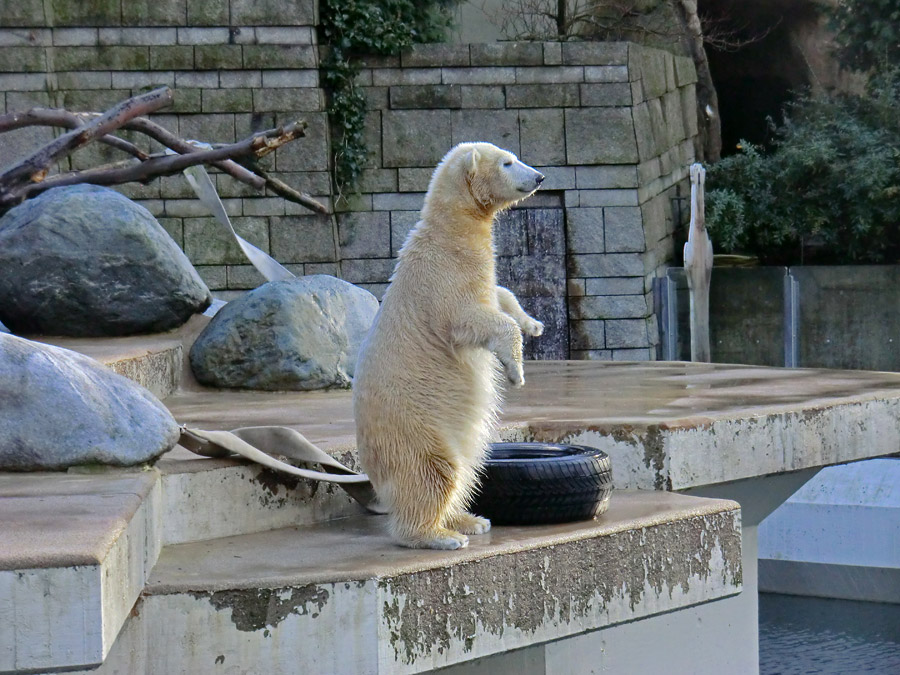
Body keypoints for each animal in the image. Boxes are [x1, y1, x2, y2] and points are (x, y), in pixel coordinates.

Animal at [356, 143, 544, 548]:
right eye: (508, 162)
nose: (539, 177)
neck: (449, 232)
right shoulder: (443, 277)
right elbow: (469, 319)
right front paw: (515, 370)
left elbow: (499, 295)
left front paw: (533, 324)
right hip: (416, 430)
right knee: (434, 472)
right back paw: (439, 535)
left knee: (471, 464)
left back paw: (470, 519)